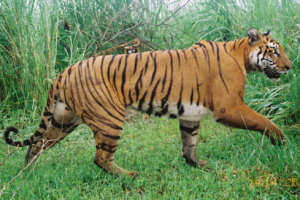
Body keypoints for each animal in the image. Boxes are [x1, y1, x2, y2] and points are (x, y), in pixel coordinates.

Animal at [4, 28, 290, 176]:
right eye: (275, 51)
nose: (289, 67)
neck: (241, 55)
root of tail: (65, 71)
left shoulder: (190, 114)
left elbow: (189, 143)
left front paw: (198, 165)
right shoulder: (229, 106)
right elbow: (265, 121)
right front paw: (283, 143)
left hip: (63, 119)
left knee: (38, 143)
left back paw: (26, 173)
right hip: (109, 119)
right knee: (100, 158)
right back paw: (128, 176)